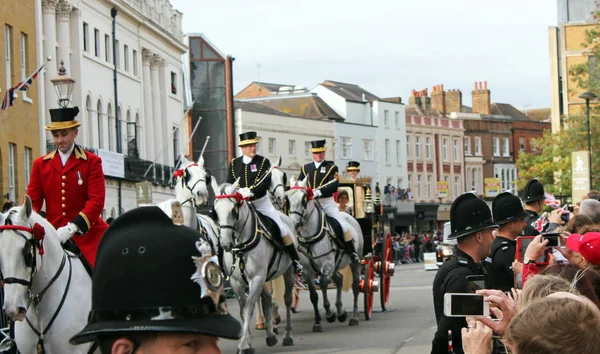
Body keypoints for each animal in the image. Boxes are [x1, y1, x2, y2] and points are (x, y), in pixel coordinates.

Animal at [213, 181, 296, 352]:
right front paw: (248, 342)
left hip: (288, 272)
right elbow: (243, 311)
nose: (225, 243)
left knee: (287, 300)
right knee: (267, 297)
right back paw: (270, 335)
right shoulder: (237, 281)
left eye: (233, 210)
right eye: (216, 211)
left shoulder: (257, 277)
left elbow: (248, 309)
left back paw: (287, 336)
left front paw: (244, 344)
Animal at [284, 177, 360, 332]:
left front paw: (329, 314)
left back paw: (354, 317)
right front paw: (318, 321)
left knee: (355, 286)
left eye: (304, 199)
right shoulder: (307, 271)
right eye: (287, 199)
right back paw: (341, 312)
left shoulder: (327, 265)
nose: (295, 224)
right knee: (339, 279)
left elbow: (324, 284)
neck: (309, 237)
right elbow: (313, 295)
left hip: (353, 262)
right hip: (335, 265)